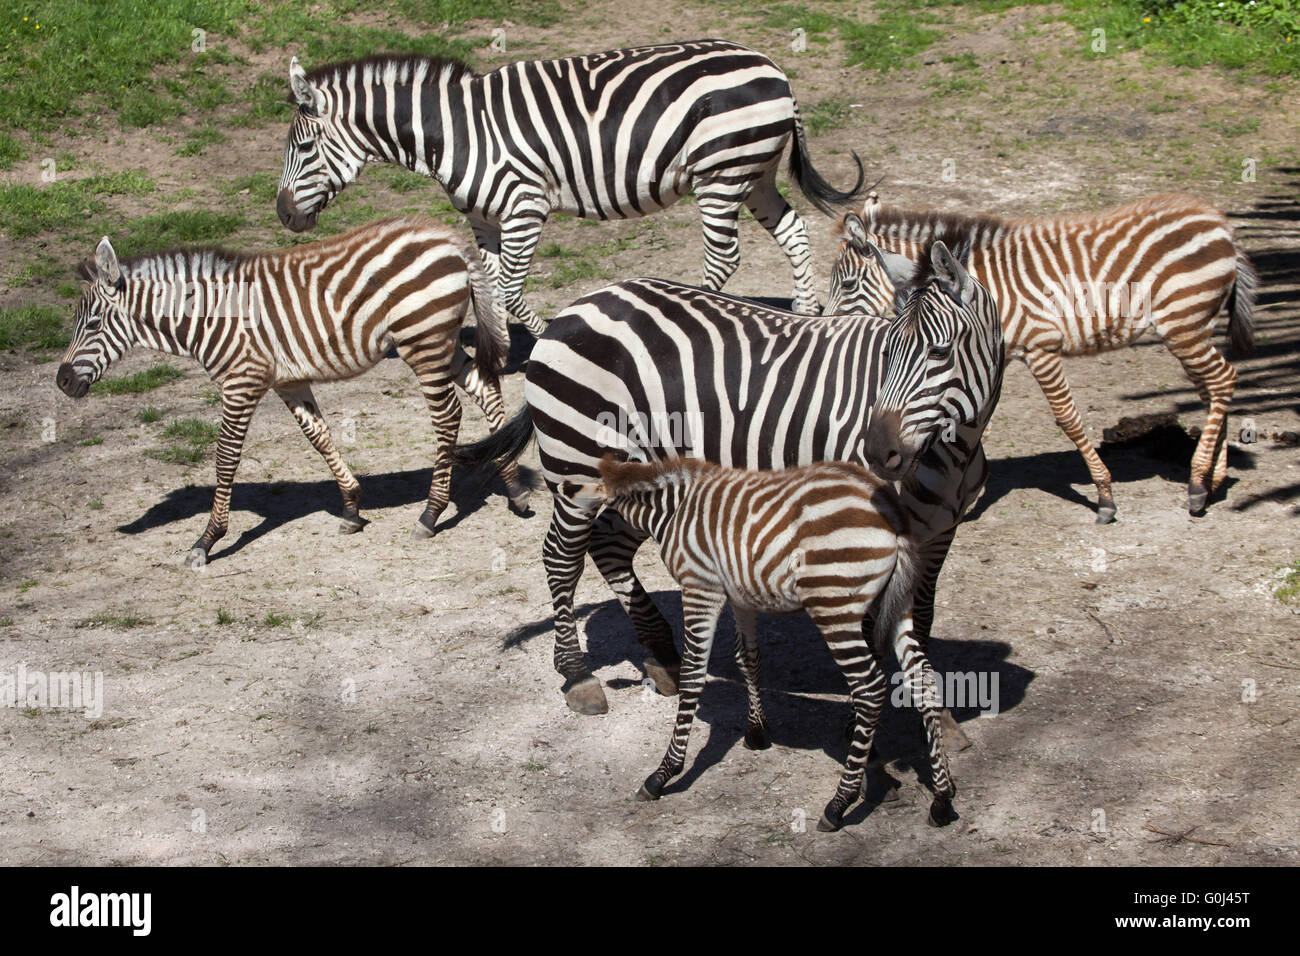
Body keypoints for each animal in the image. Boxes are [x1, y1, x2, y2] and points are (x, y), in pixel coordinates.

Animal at [55, 214, 522, 567]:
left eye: (92, 324)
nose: (61, 381)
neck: (211, 318)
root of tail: (448, 237)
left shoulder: (241, 382)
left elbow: (225, 458)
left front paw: (207, 540)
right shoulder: (288, 381)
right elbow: (319, 437)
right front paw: (352, 507)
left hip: (422, 340)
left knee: (448, 416)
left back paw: (431, 512)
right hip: (441, 341)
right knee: (485, 389)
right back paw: (515, 487)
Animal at [274, 40, 863, 332]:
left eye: (304, 149)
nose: (283, 215)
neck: (457, 132)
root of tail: (772, 65)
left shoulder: (524, 206)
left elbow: (512, 293)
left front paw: (539, 343)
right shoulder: (483, 219)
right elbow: (491, 292)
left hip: (721, 173)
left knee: (723, 259)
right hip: (753, 171)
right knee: (794, 232)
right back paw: (803, 315)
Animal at [454, 239, 1003, 780]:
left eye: (939, 352)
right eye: (887, 353)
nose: (875, 452)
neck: (954, 452)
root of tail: (579, 305)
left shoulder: (937, 535)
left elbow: (920, 619)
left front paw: (938, 719)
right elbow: (872, 627)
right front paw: (864, 727)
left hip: (633, 477)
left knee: (608, 548)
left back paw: (664, 658)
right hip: (577, 465)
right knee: (561, 558)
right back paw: (576, 676)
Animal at [569, 455, 956, 832]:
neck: (672, 511)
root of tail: (889, 507)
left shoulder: (700, 588)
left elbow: (693, 675)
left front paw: (664, 773)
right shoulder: (740, 595)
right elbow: (748, 658)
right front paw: (757, 732)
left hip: (835, 606)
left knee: (870, 688)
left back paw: (839, 804)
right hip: (899, 602)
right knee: (922, 678)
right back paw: (942, 797)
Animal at [826, 195, 1253, 522]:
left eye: (847, 283)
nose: (822, 321)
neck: (993, 289)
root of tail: (1220, 222)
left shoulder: (1040, 348)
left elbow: (1067, 418)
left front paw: (1104, 495)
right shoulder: (988, 358)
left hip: (1184, 324)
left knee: (1224, 379)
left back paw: (1198, 485)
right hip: (1193, 327)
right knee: (1212, 389)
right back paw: (1212, 481)